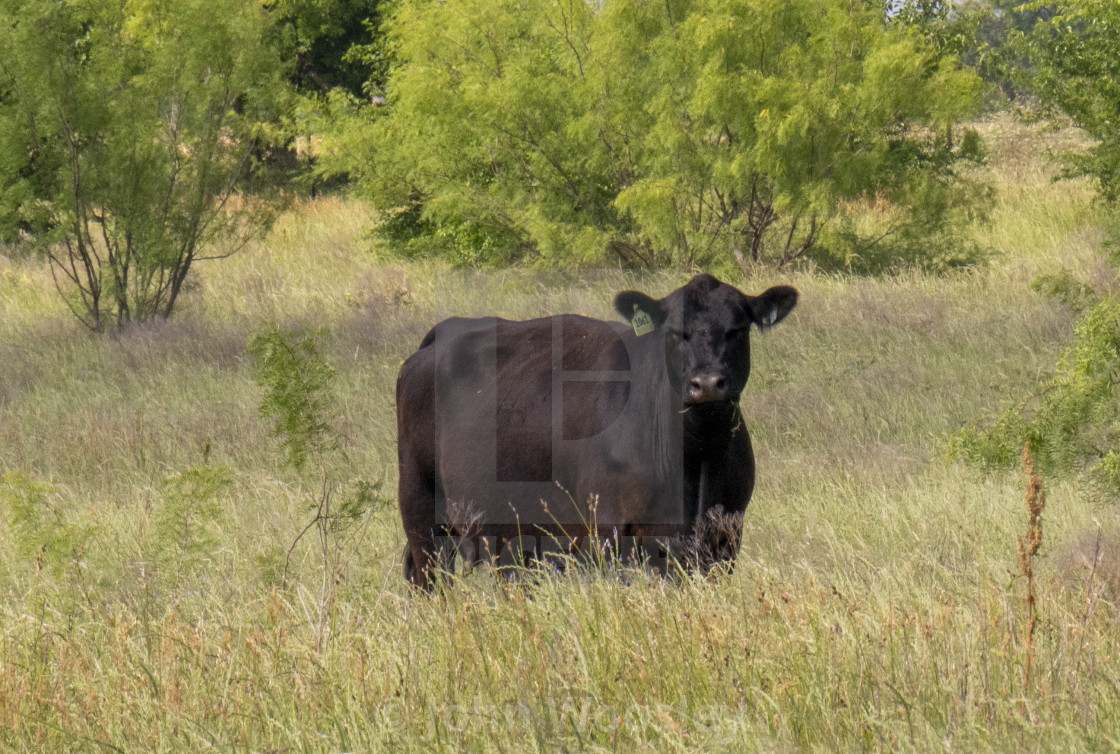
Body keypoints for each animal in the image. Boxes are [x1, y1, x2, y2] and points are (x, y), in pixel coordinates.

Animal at [394, 273, 797, 587]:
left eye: (737, 330)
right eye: (674, 333)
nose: (708, 383)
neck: (698, 458)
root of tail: (445, 331)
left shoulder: (724, 537)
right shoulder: (612, 533)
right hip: (419, 506)